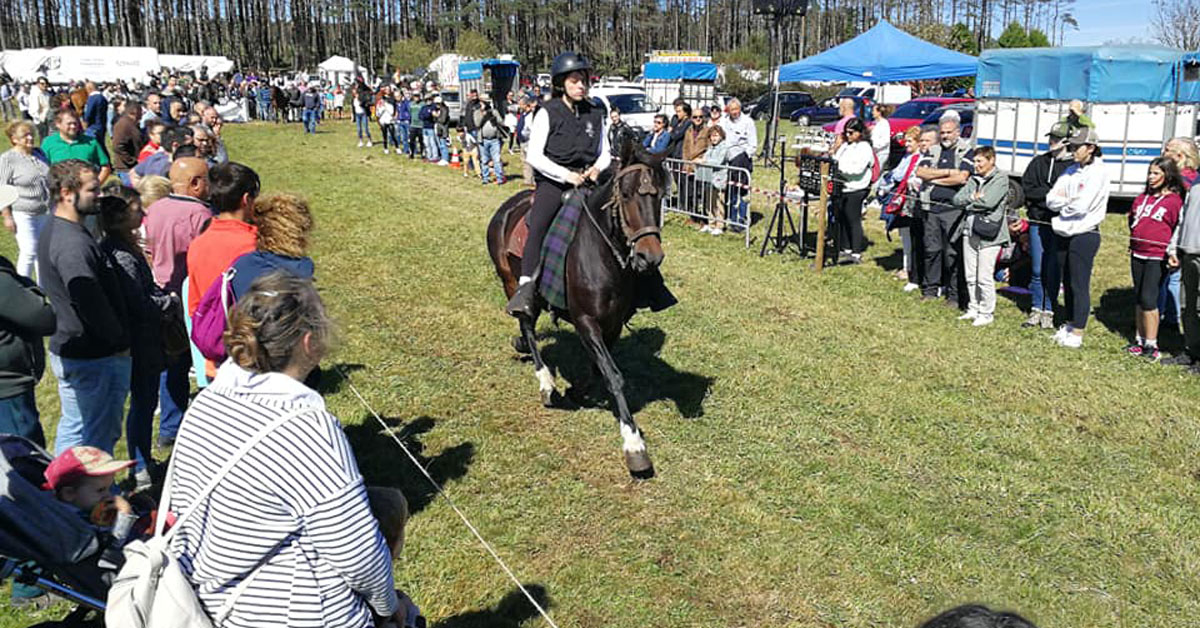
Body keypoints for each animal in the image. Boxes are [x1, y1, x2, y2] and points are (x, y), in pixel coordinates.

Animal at [484, 139, 667, 480]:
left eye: (661, 195)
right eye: (626, 194)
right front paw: (634, 446)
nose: (650, 258)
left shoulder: (612, 325)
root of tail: (508, 207)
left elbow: (599, 369)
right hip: (509, 279)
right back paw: (545, 382)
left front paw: (577, 391)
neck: (602, 255)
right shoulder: (586, 321)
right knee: (527, 323)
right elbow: (614, 376)